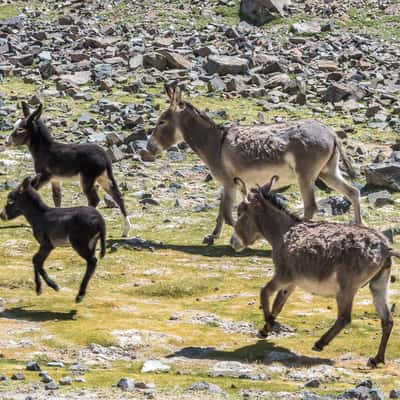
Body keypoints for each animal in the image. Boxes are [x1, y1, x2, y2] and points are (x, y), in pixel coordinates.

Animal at [7, 101, 130, 236]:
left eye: (20, 129)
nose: (6, 142)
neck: (45, 150)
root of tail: (105, 156)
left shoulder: (44, 175)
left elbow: (32, 189)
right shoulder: (55, 179)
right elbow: (57, 198)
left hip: (88, 177)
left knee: (94, 199)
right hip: (103, 177)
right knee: (118, 196)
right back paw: (125, 231)